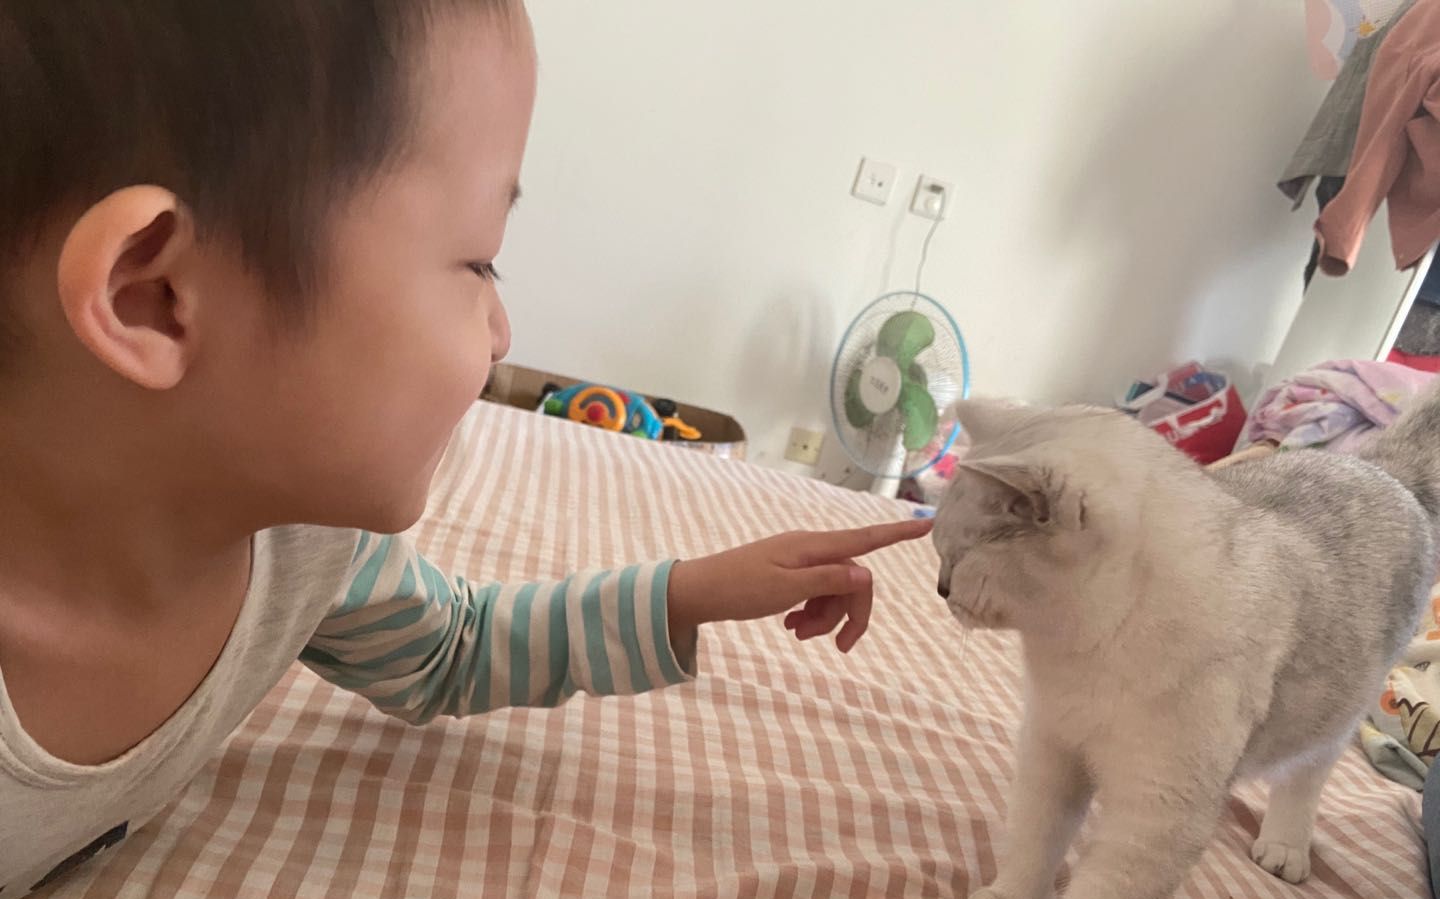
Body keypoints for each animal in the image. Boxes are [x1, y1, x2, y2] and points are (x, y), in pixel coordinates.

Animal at [932, 392, 1439, 899]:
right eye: (940, 555)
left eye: (956, 560)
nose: (940, 589)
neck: (1081, 652)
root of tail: (1377, 466)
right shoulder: (1052, 749)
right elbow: (1034, 843)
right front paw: (1007, 891)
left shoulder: (1157, 813)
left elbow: (1104, 883)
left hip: (1333, 719)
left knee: (1305, 776)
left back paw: (1285, 847)